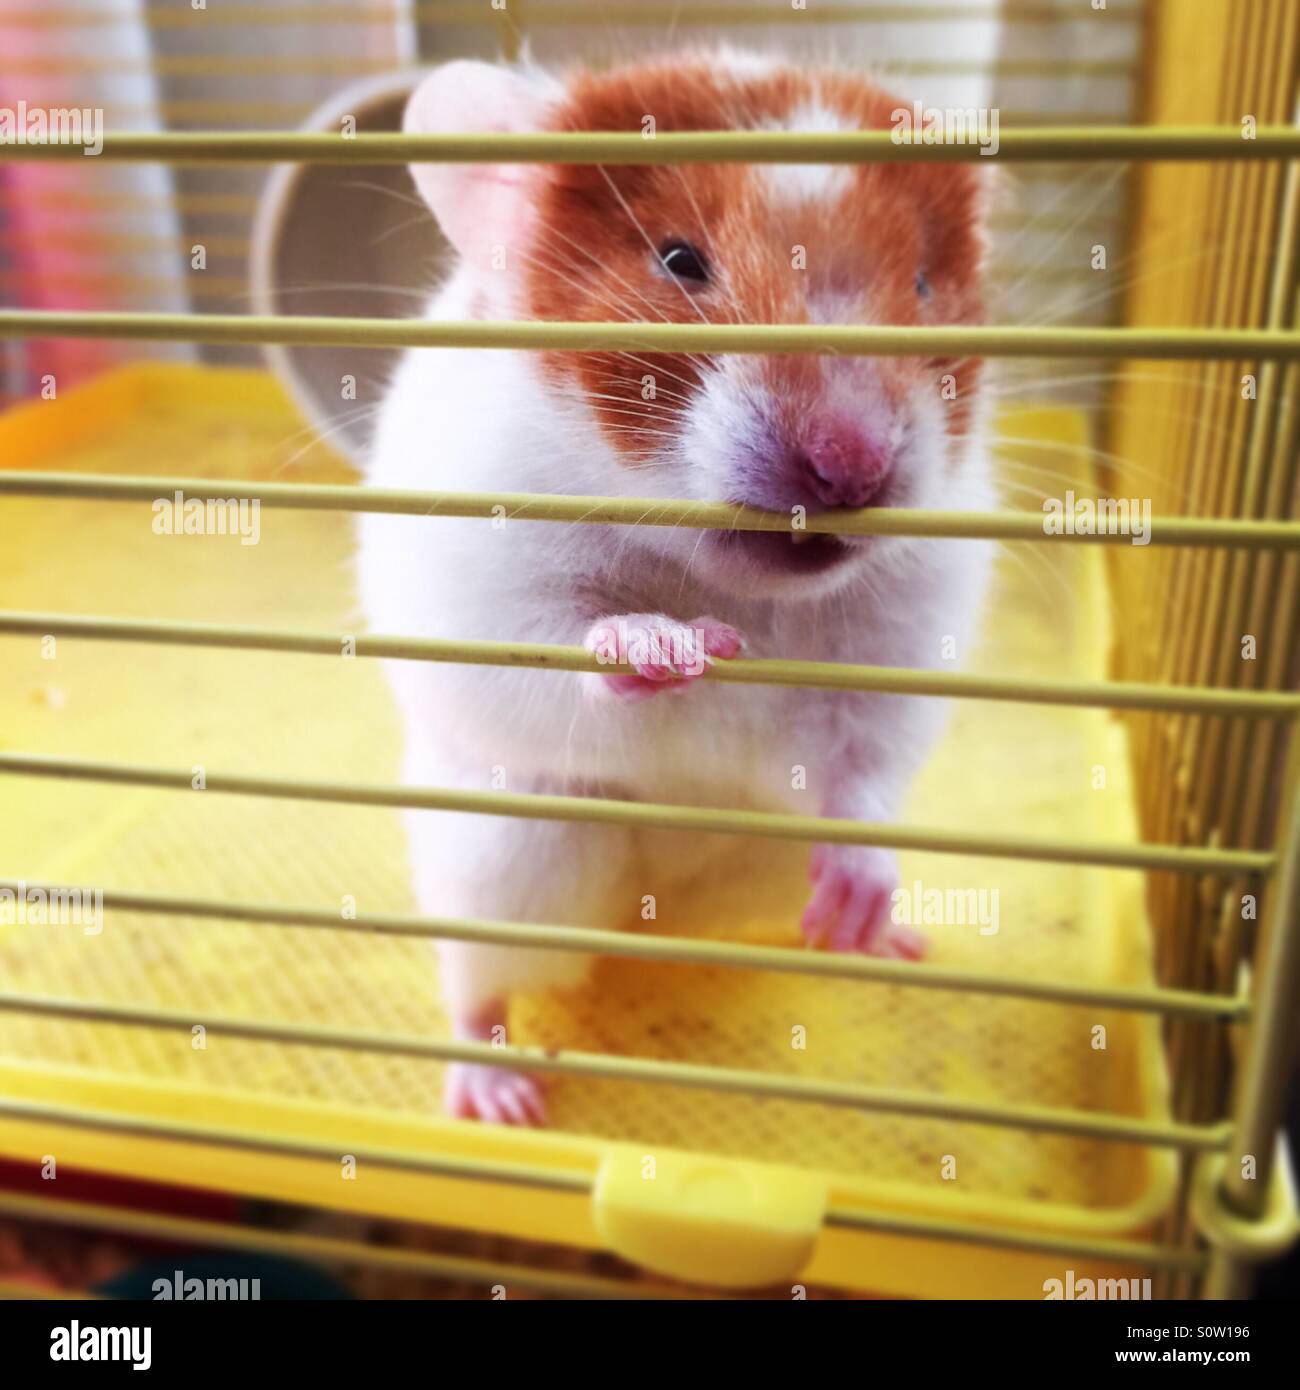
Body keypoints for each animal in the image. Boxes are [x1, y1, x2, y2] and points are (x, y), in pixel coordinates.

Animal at [357, 53, 994, 1126]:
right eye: (680, 261)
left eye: (920, 284)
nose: (852, 468)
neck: (726, 580)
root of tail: (660, 922)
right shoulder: (473, 589)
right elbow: (565, 647)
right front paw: (675, 645)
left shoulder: (905, 638)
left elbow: (864, 768)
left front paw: (860, 904)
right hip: (498, 870)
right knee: (477, 983)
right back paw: (501, 1097)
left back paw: (883, 942)